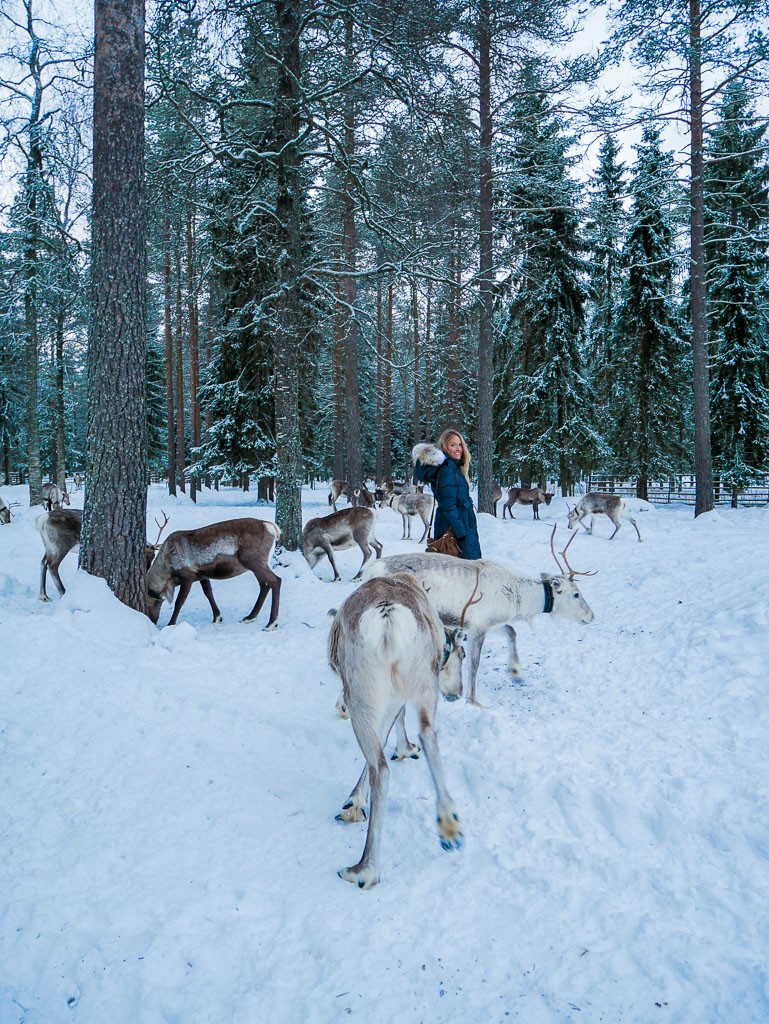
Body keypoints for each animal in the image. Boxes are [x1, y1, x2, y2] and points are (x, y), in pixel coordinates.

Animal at [329, 577, 466, 888]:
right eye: (462, 655)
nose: (459, 692)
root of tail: (388, 616)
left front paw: (353, 804)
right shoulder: (400, 696)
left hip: (363, 697)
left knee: (379, 767)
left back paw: (363, 870)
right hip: (422, 685)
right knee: (428, 736)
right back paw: (449, 827)